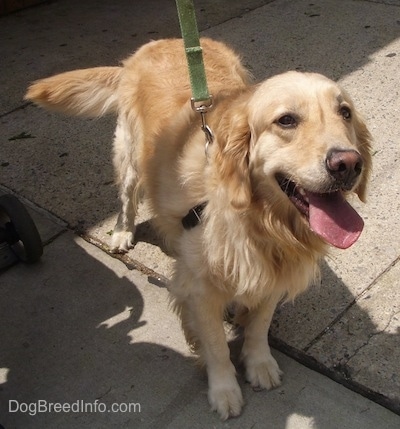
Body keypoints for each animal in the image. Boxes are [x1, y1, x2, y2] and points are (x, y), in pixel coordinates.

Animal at [25, 37, 372, 418]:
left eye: (345, 112)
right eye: (286, 120)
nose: (348, 163)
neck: (257, 219)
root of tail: (163, 40)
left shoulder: (273, 273)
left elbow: (259, 325)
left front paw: (259, 363)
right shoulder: (200, 290)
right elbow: (217, 345)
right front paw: (224, 390)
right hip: (130, 153)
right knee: (128, 194)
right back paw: (121, 231)